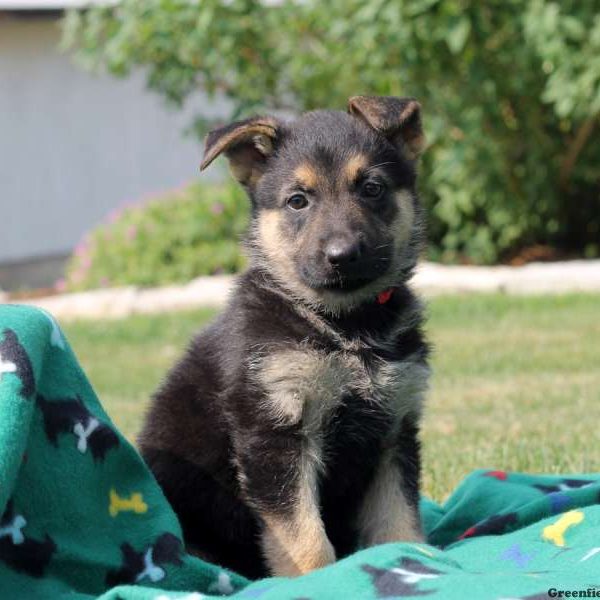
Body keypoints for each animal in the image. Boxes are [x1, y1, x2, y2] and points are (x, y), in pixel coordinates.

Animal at [139, 96, 432, 580]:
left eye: (372, 189)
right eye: (298, 201)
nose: (342, 255)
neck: (346, 328)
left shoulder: (394, 429)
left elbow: (399, 519)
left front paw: (422, 563)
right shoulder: (274, 433)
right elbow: (302, 535)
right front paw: (322, 580)